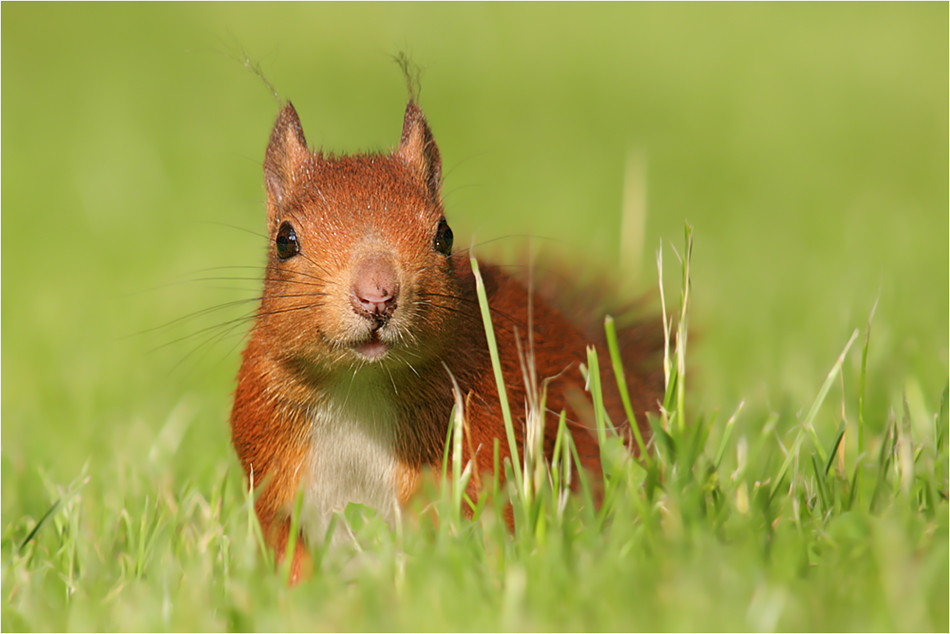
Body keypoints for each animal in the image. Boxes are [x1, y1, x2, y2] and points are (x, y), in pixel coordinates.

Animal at [230, 97, 660, 576]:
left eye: (445, 234)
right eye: (285, 240)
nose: (376, 295)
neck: (359, 386)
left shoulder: (482, 447)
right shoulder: (275, 476)